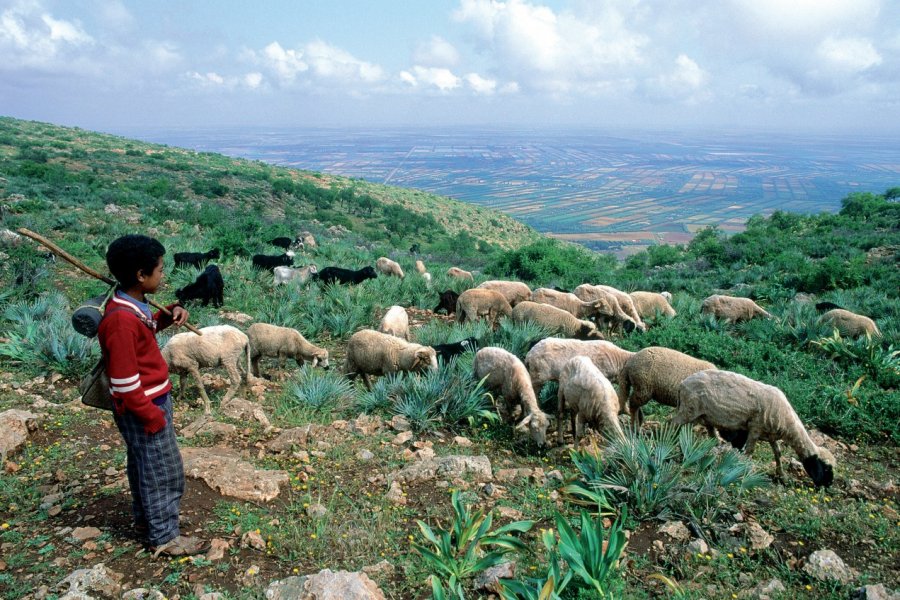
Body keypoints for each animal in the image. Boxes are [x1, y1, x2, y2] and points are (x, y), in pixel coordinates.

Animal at [676, 370, 836, 488]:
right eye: (826, 468)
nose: (828, 484)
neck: (788, 423)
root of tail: (683, 383)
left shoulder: (770, 435)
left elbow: (778, 453)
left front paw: (782, 476)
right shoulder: (755, 428)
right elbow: (749, 451)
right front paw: (743, 471)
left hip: (705, 416)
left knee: (711, 437)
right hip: (688, 410)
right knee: (673, 424)